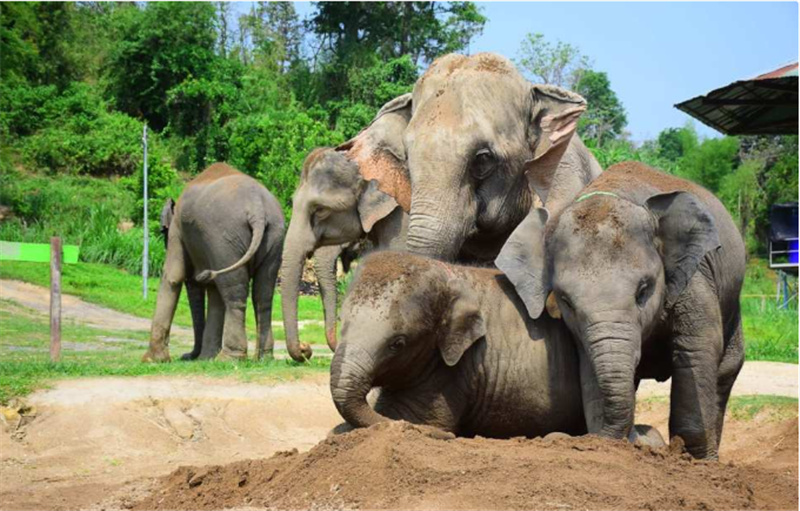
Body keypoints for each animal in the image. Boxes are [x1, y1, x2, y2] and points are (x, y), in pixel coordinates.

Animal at [143, 162, 285, 363]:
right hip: (274, 235)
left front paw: (151, 360)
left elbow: (173, 276)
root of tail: (257, 210)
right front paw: (206, 358)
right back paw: (263, 358)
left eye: (163, 232)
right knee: (263, 294)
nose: (188, 356)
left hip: (225, 238)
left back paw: (229, 358)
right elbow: (214, 292)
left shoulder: (178, 231)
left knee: (234, 293)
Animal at [496, 161, 746, 459]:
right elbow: (589, 363)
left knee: (725, 371)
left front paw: (694, 459)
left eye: (643, 290)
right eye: (566, 301)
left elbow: (697, 348)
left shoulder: (694, 278)